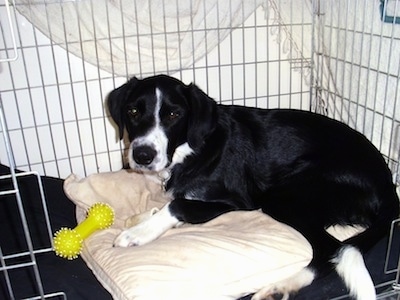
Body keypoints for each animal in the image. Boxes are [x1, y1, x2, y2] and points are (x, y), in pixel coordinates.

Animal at [107, 74, 400, 298]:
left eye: (173, 114)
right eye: (133, 111)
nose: (142, 155)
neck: (190, 150)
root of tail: (387, 182)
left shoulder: (234, 202)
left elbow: (177, 204)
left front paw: (138, 233)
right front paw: (140, 218)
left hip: (282, 197)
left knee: (332, 249)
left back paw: (282, 285)